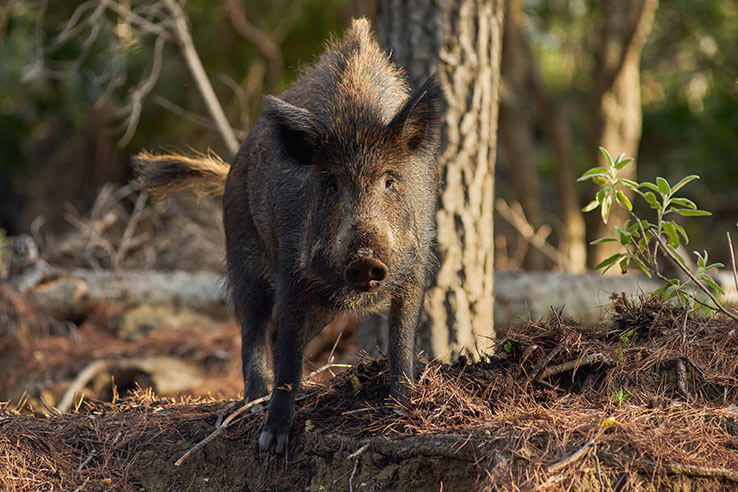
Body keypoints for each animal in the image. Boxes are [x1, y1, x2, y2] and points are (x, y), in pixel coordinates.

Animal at [135, 18, 443, 454]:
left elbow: (402, 340)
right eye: (331, 185)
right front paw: (271, 443)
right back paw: (251, 406)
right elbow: (288, 355)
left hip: (323, 302)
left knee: (280, 332)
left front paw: (401, 409)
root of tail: (230, 169)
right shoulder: (291, 266)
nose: (365, 259)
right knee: (257, 330)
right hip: (243, 253)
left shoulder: (416, 263)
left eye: (389, 181)